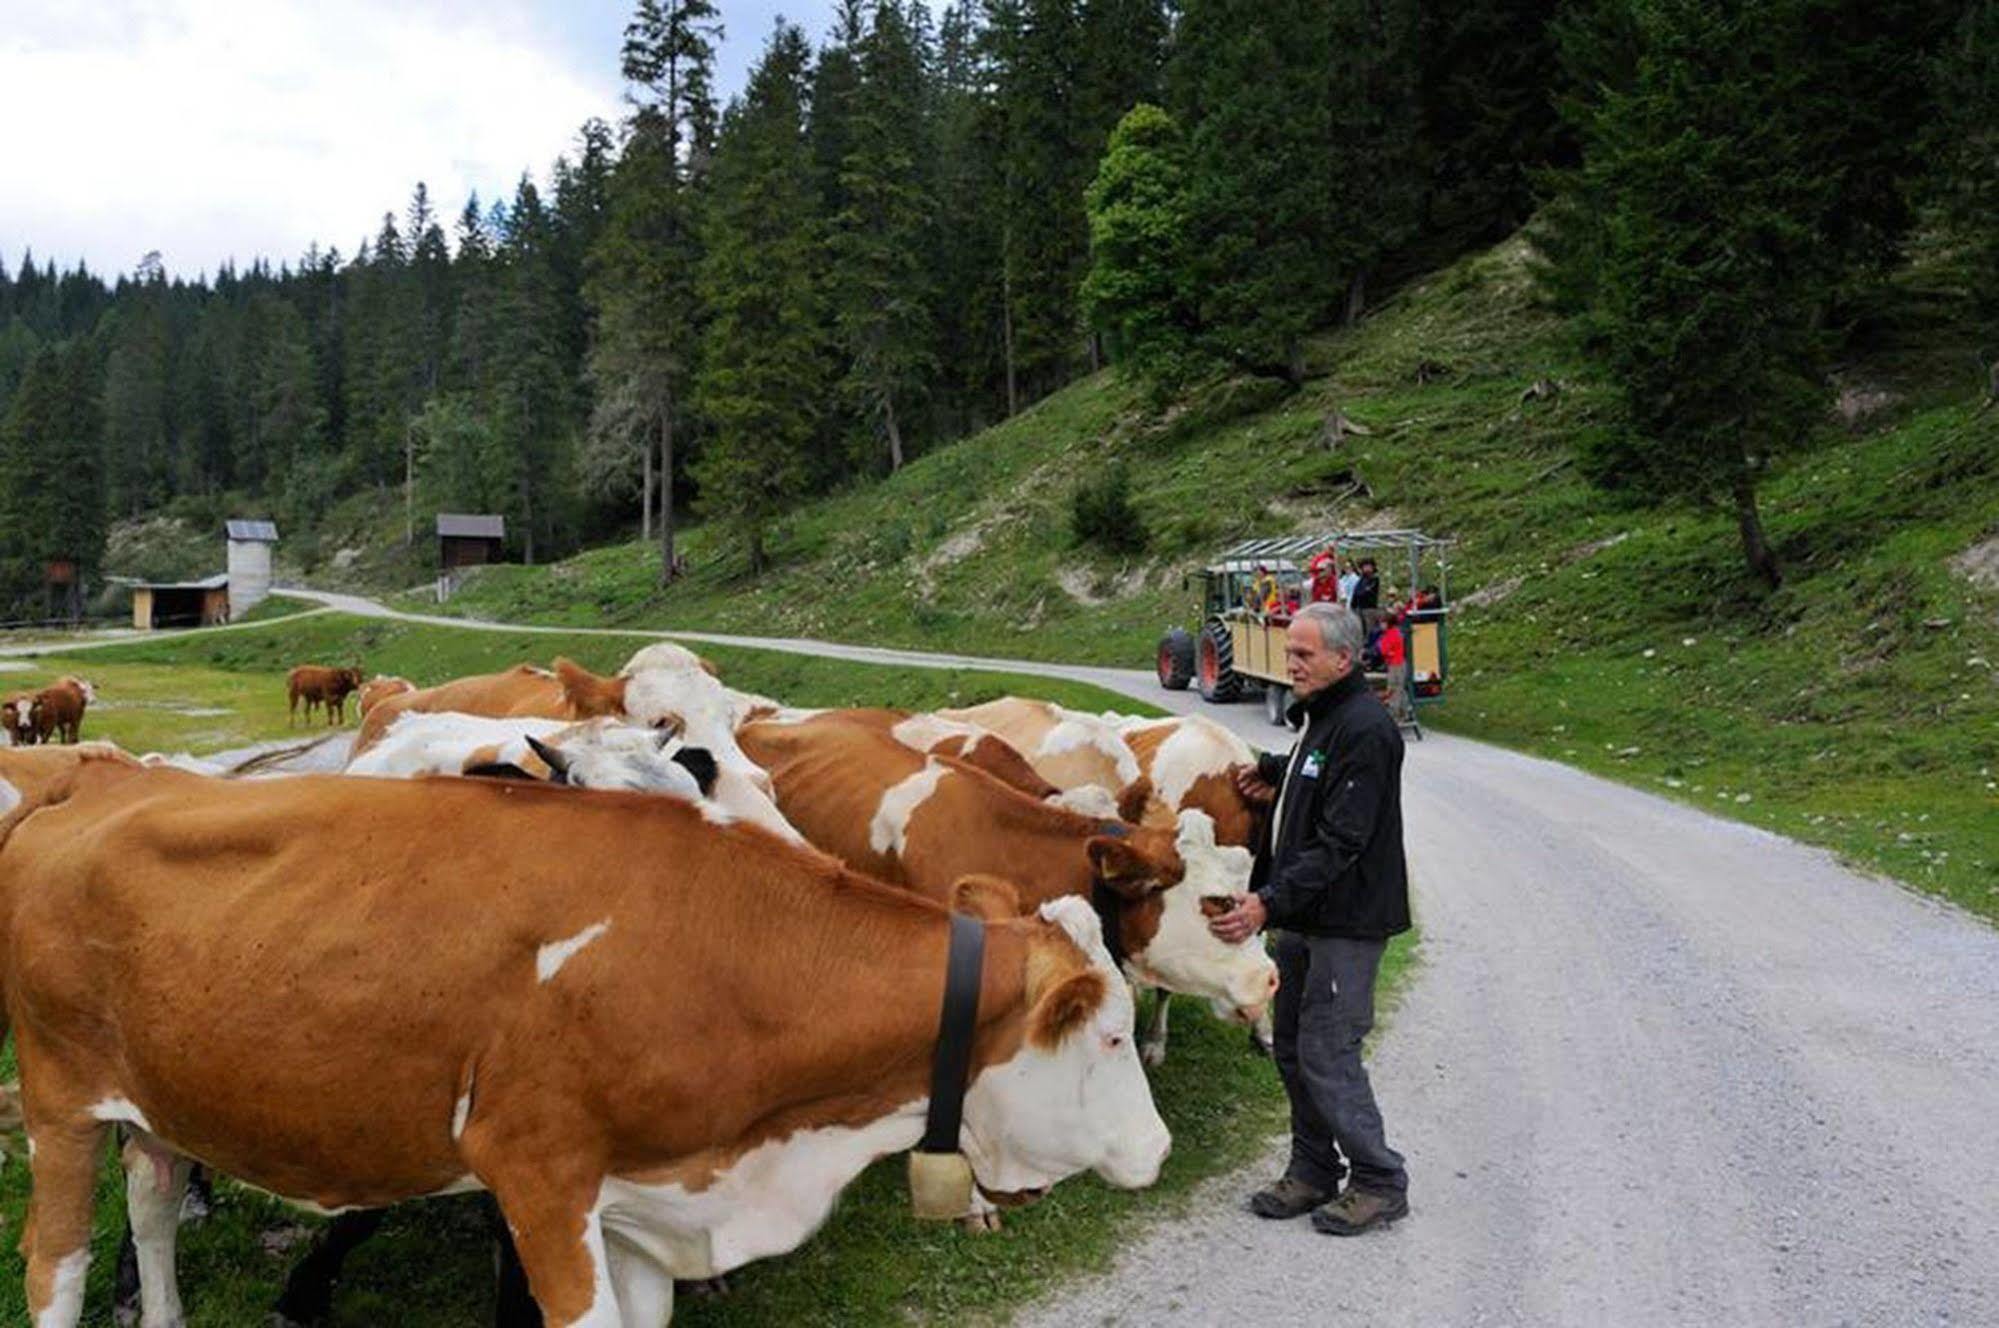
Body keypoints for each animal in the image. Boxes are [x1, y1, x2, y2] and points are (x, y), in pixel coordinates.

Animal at [0, 748, 1167, 1328]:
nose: (1158, 1149)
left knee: (152, 1205)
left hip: (160, 1099)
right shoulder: (539, 1177)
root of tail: (94, 780)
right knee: (54, 1267)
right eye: (1110, 1036)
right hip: (60, 1099)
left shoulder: (646, 1200)